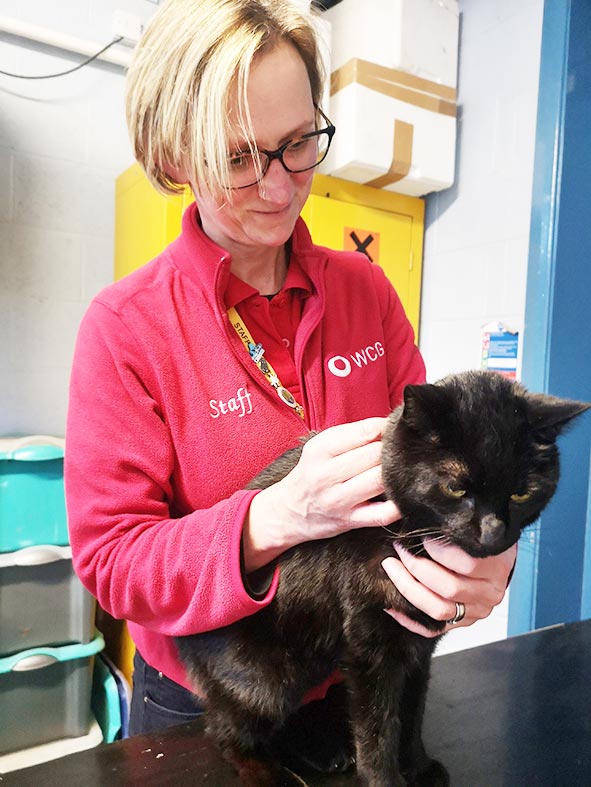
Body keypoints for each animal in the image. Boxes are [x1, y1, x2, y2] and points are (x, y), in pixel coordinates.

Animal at [177, 372, 591, 784]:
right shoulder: (372, 652)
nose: (493, 533)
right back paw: (274, 774)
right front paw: (386, 780)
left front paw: (420, 768)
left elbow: (411, 712)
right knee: (225, 730)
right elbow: (377, 730)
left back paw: (323, 751)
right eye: (455, 487)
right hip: (270, 679)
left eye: (522, 493)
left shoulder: (418, 646)